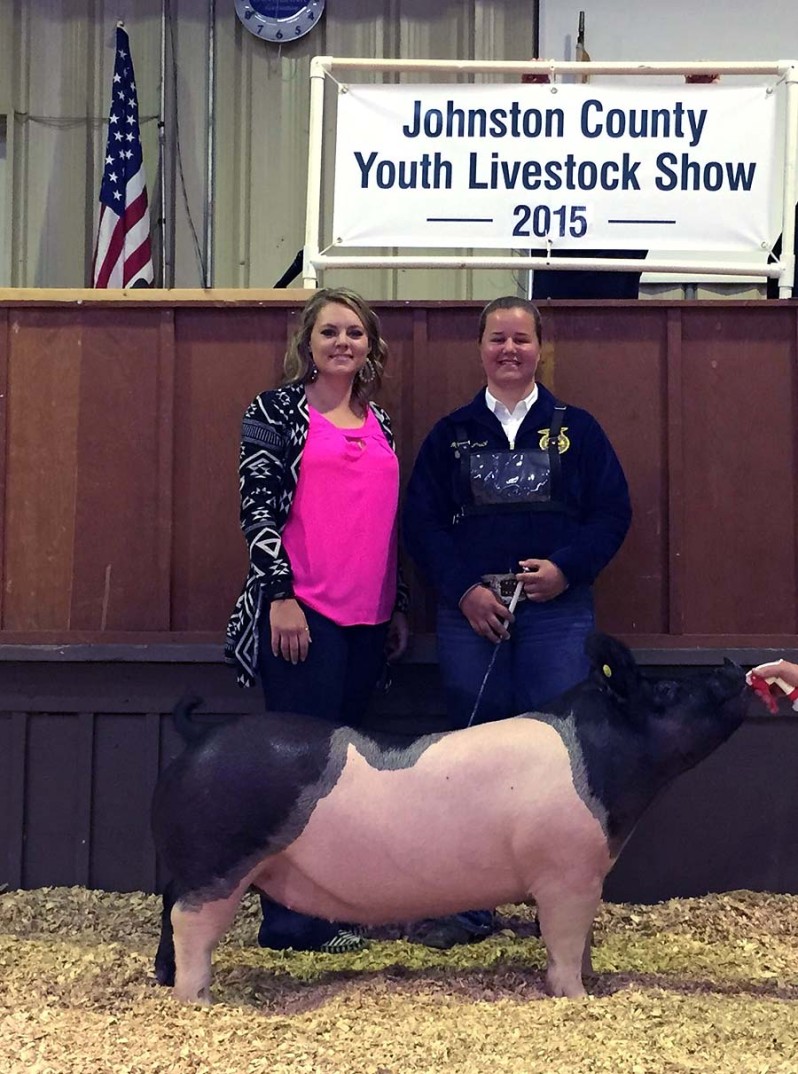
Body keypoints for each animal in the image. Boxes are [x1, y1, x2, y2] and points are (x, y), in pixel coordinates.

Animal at [150, 631, 747, 1000]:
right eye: (667, 689)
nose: (733, 667)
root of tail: (199, 737)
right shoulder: (565, 872)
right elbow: (564, 938)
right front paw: (576, 997)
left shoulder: (587, 874)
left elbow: (583, 942)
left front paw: (593, 982)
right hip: (219, 861)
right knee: (190, 922)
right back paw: (199, 1001)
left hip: (192, 864)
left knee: (168, 908)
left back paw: (164, 981)